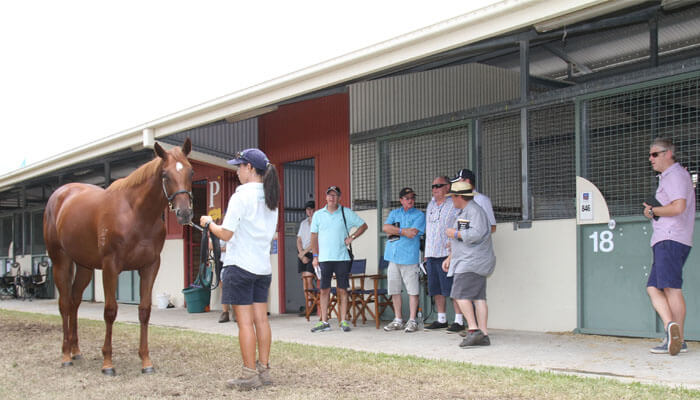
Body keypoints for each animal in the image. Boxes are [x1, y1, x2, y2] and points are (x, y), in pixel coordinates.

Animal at [43, 138, 194, 376]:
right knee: (65, 303)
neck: (136, 214)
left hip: (84, 267)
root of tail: (59, 195)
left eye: (190, 171)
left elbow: (144, 311)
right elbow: (110, 311)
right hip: (61, 261)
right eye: (164, 174)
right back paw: (66, 354)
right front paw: (108, 363)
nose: (185, 213)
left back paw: (76, 351)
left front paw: (146, 361)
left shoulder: (150, 266)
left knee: (75, 301)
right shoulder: (110, 266)